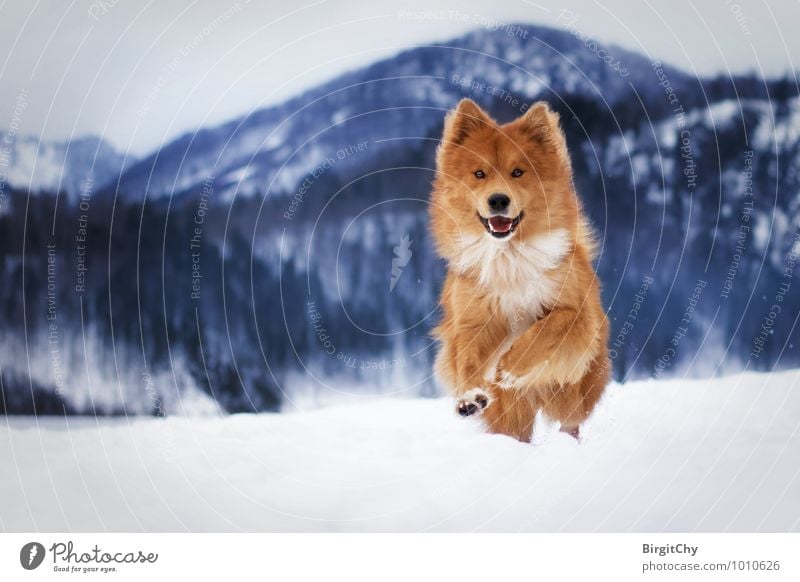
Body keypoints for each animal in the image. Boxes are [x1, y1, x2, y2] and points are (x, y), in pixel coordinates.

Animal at [432, 99, 612, 442]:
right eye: (479, 174)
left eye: (518, 172)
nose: (498, 200)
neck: (509, 254)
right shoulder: (473, 317)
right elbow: (467, 357)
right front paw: (469, 396)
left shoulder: (577, 314)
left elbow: (547, 327)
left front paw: (510, 367)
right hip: (511, 411)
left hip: (574, 390)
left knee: (571, 420)